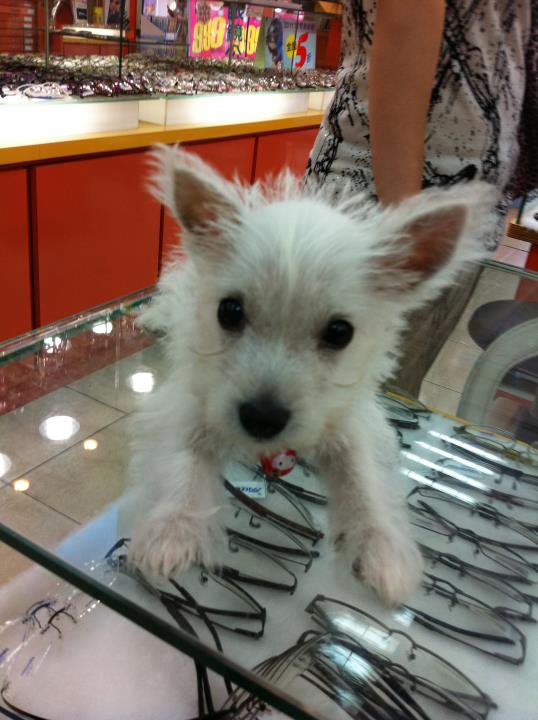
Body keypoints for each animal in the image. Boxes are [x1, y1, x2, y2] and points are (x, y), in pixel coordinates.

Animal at [126, 145, 494, 605]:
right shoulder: (189, 400)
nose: (261, 419)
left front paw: (384, 549)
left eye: (340, 333)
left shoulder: (355, 419)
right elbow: (183, 459)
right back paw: (151, 318)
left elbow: (363, 477)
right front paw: (172, 530)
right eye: (229, 311)